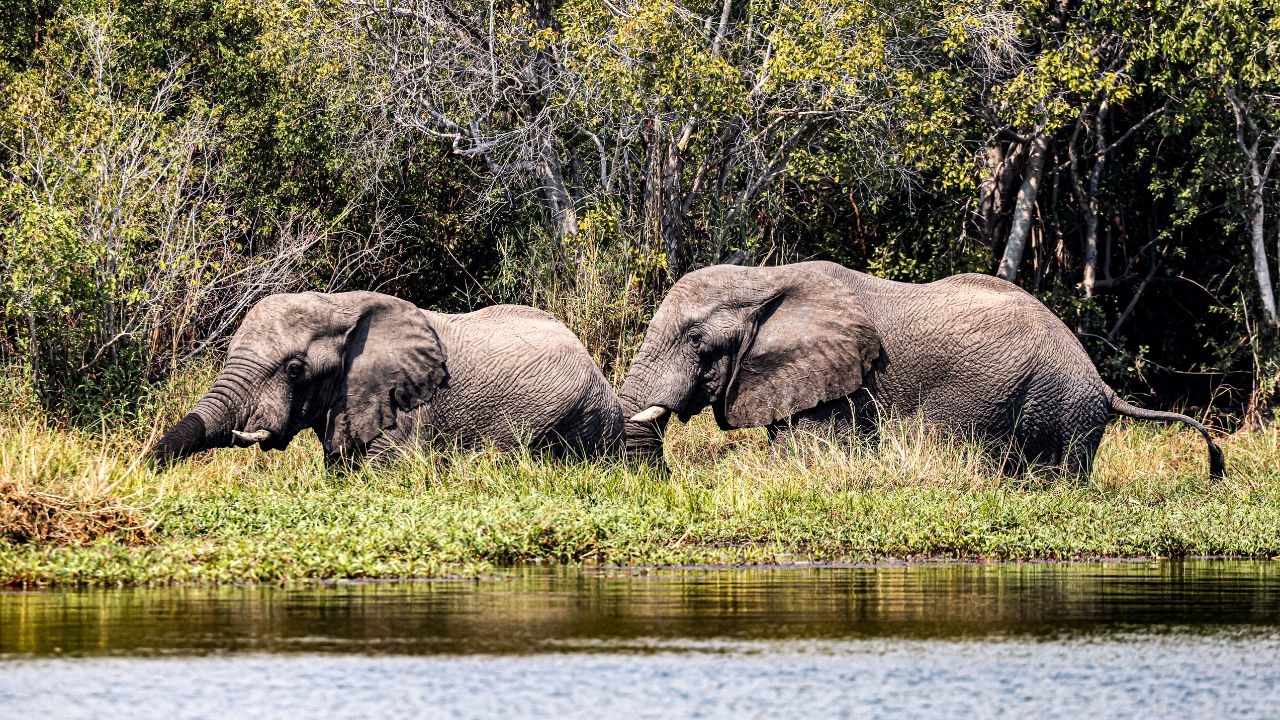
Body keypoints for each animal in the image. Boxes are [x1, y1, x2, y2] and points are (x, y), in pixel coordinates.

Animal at [619, 260, 1224, 479]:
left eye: (698, 341)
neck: (764, 277)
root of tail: (1101, 381)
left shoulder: (842, 382)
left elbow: (805, 456)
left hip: (1056, 404)